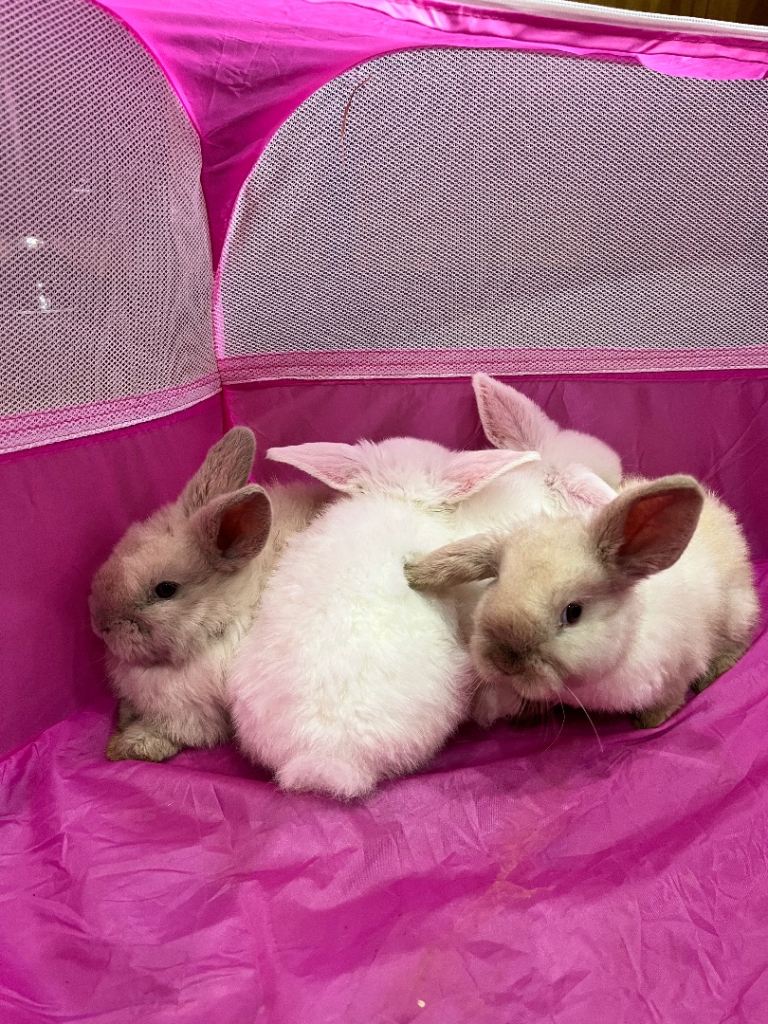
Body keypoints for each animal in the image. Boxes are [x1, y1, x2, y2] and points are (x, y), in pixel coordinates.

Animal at [89, 427, 332, 762]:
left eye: (165, 589)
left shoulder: (194, 713)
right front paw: (123, 719)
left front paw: (125, 745)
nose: (99, 624)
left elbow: (171, 732)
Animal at [406, 473, 759, 730]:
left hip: (736, 613)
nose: (504, 662)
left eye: (573, 612)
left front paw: (650, 720)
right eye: (497, 582)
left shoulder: (680, 665)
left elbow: (670, 696)